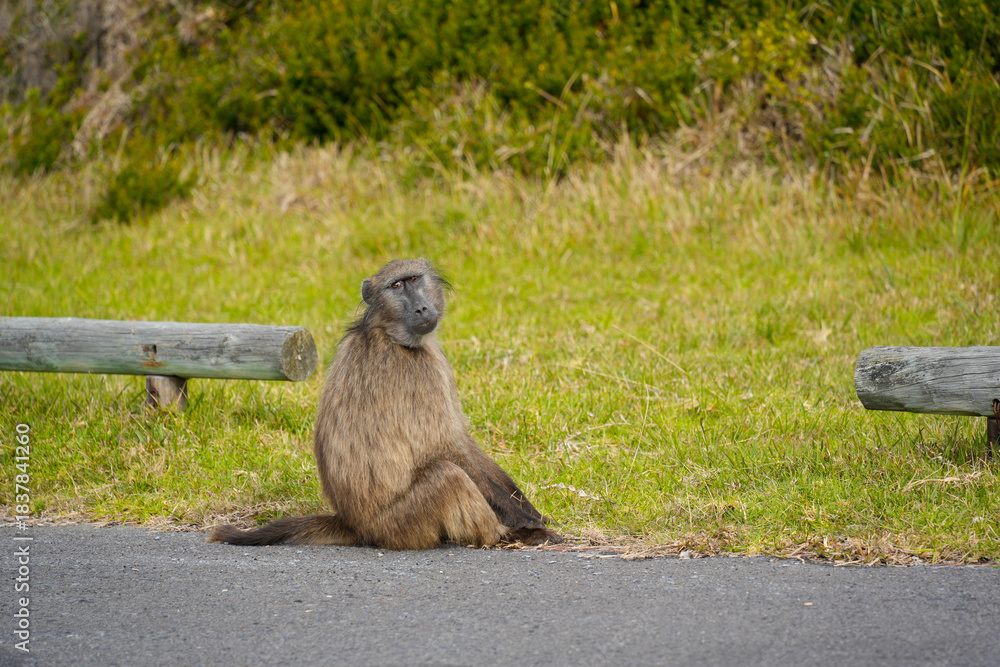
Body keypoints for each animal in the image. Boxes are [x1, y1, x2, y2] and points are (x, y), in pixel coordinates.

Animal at [209, 258, 561, 550]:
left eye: (414, 279)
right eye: (396, 286)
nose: (421, 309)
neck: (391, 335)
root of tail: (356, 525)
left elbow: (463, 441)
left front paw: (532, 512)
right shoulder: (422, 372)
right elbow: (446, 447)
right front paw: (527, 524)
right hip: (401, 524)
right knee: (448, 475)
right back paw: (502, 537)